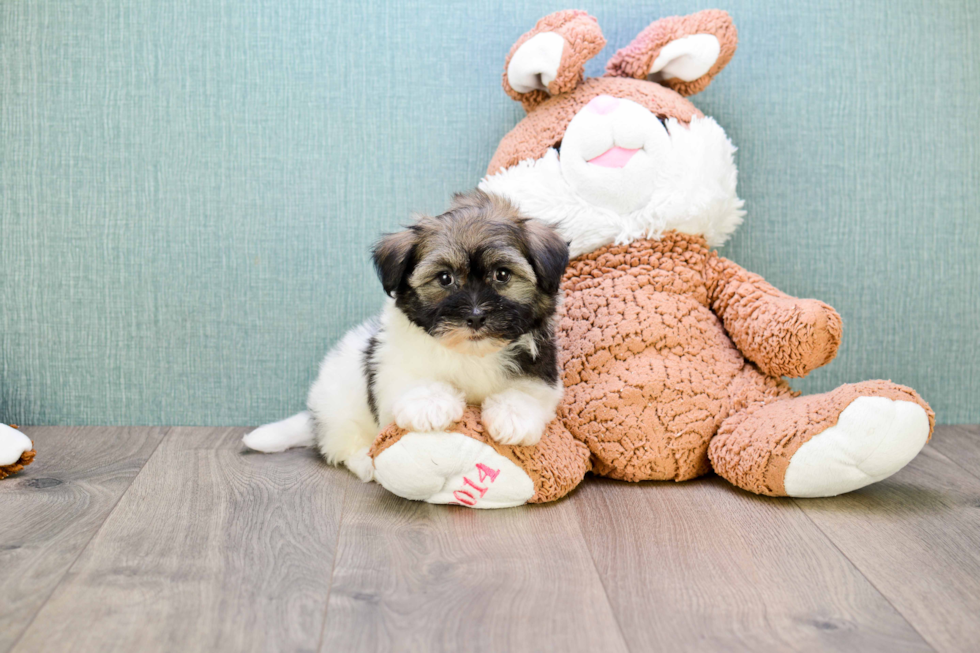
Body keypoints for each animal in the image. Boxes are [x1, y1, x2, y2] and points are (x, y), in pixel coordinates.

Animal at [240, 188, 572, 478]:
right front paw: (432, 404)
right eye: (445, 278)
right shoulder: (392, 367)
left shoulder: (541, 370)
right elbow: (412, 381)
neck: (471, 353)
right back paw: (364, 462)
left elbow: (529, 391)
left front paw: (513, 416)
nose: (476, 316)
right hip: (340, 410)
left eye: (502, 274)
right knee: (343, 445)